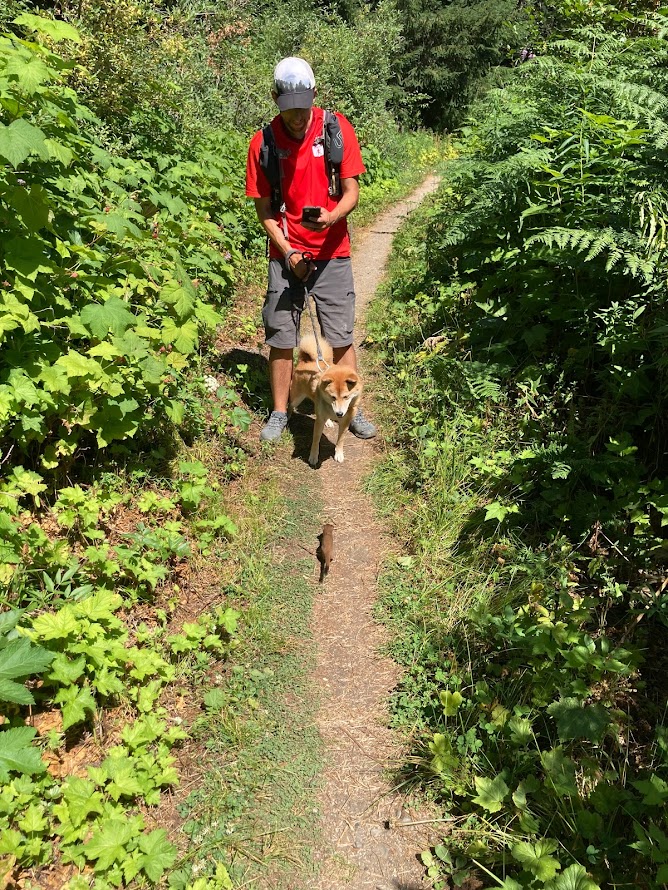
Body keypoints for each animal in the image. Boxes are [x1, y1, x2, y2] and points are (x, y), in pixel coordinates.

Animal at [289, 334, 362, 466]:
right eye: (333, 397)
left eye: (346, 397)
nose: (339, 413)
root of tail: (305, 361)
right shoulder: (319, 422)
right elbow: (315, 440)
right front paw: (313, 456)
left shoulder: (345, 422)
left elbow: (341, 440)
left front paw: (339, 454)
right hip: (296, 398)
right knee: (290, 406)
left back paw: (328, 421)